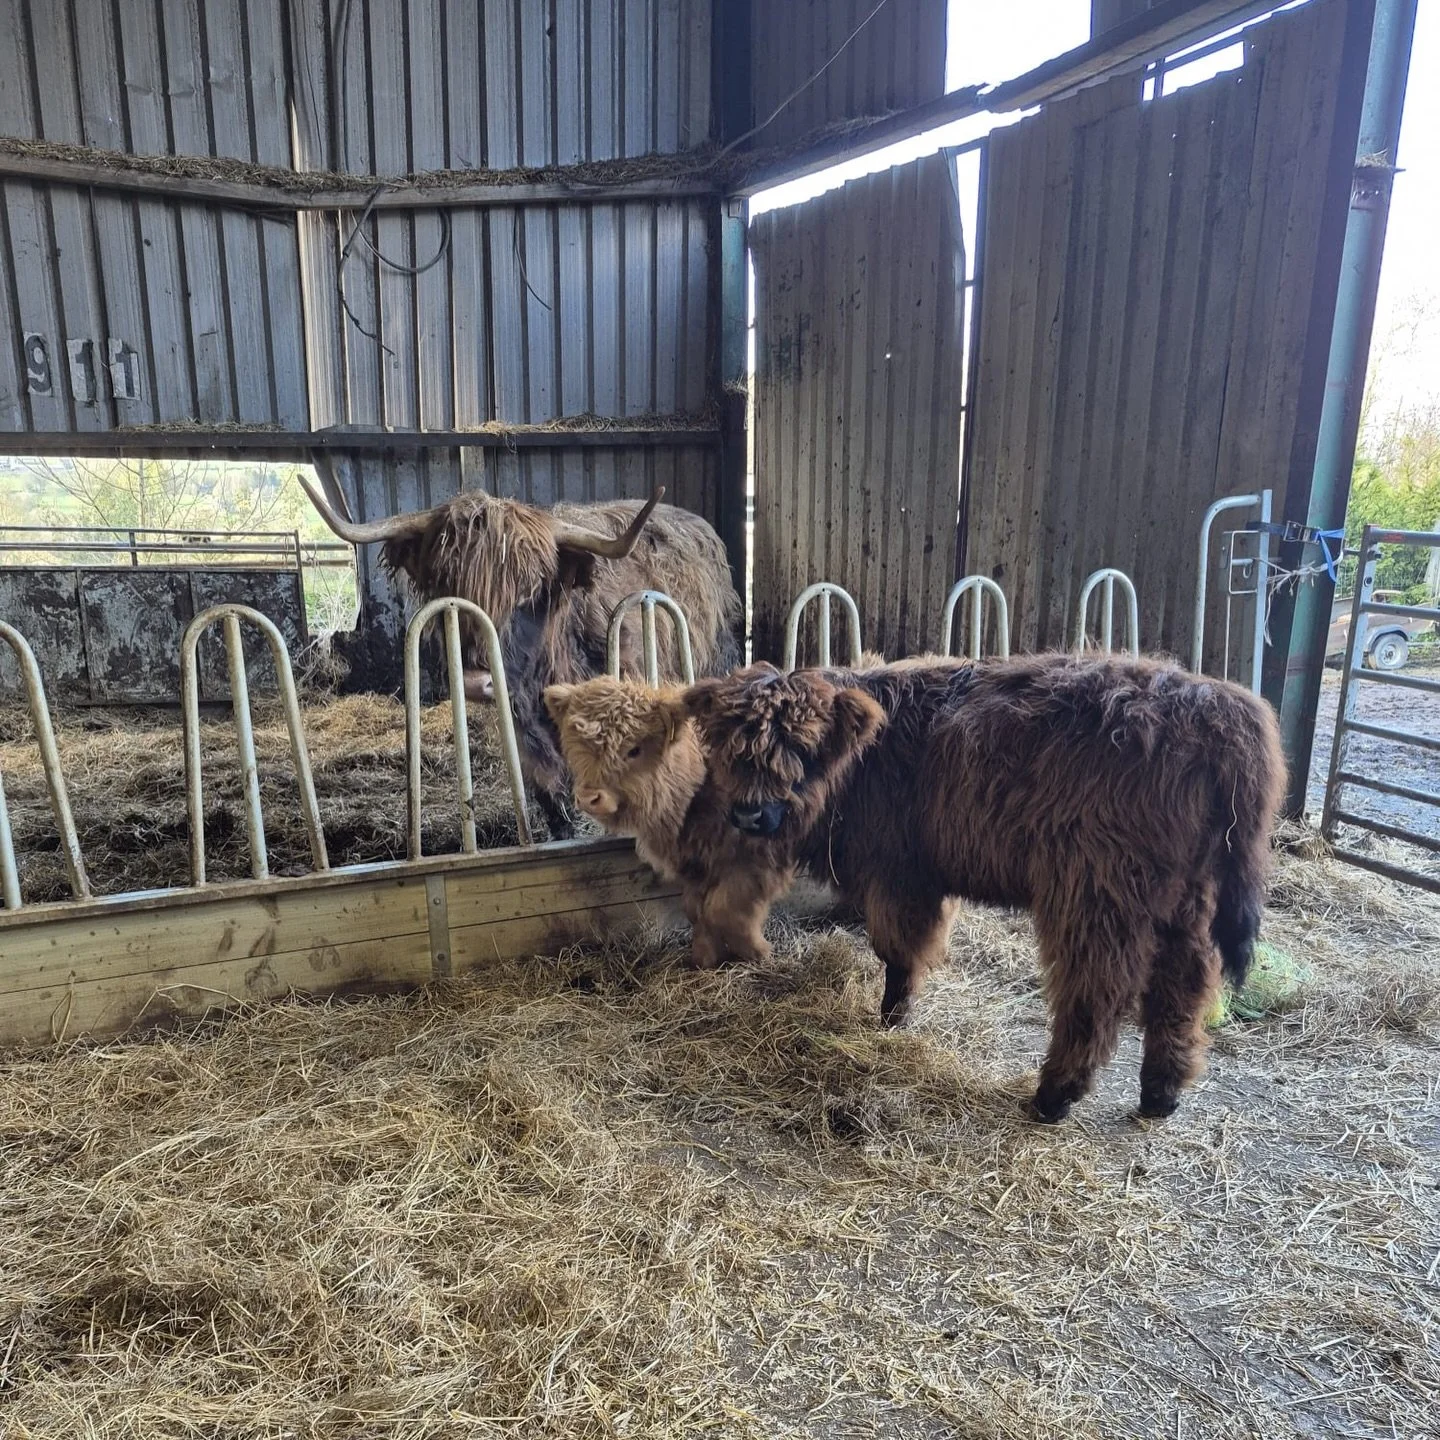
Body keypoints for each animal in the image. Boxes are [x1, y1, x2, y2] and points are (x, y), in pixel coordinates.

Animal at [680, 656, 1286, 1123]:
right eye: (732, 750)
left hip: (1099, 892)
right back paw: (1161, 1094)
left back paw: (1054, 1096)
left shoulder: (899, 873)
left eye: (801, 748)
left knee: (1098, 989)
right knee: (1183, 985)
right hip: (1188, 898)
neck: (869, 761)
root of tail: (1214, 703)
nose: (750, 814)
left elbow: (897, 951)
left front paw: (892, 1019)